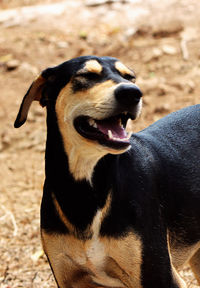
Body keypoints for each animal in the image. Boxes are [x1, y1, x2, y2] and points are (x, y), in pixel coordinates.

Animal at [14, 55, 200, 286]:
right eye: (87, 75)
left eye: (130, 77)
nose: (132, 93)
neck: (85, 189)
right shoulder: (68, 279)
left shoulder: (160, 277)